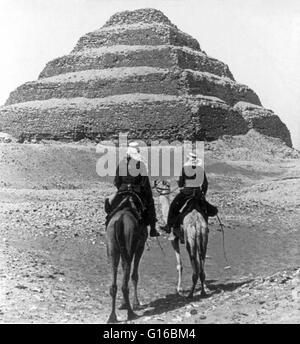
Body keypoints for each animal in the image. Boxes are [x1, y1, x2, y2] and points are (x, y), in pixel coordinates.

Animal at [105, 195, 148, 324]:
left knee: (114, 283)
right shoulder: (140, 247)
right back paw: (131, 313)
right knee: (125, 283)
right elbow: (134, 275)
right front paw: (136, 304)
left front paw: (124, 304)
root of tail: (120, 221)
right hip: (129, 245)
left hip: (112, 246)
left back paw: (112, 317)